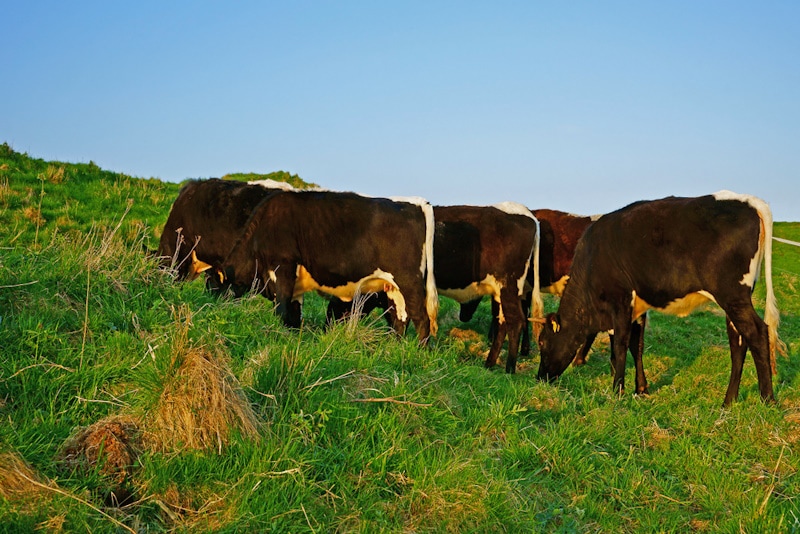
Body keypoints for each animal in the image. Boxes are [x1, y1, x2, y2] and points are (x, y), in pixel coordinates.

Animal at [216, 193, 438, 344]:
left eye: (215, 284)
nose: (216, 307)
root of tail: (417, 202)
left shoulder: (283, 268)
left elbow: (281, 308)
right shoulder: (295, 284)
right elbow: (294, 314)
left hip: (409, 280)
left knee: (421, 318)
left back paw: (420, 351)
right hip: (393, 287)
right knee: (401, 318)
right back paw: (395, 347)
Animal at [536, 193, 784, 406]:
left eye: (542, 343)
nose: (539, 378)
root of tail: (747, 200)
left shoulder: (621, 301)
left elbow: (620, 345)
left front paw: (617, 390)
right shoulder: (637, 308)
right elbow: (636, 346)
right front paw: (641, 388)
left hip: (732, 295)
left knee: (758, 333)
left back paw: (767, 399)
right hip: (734, 301)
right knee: (738, 342)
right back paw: (729, 401)